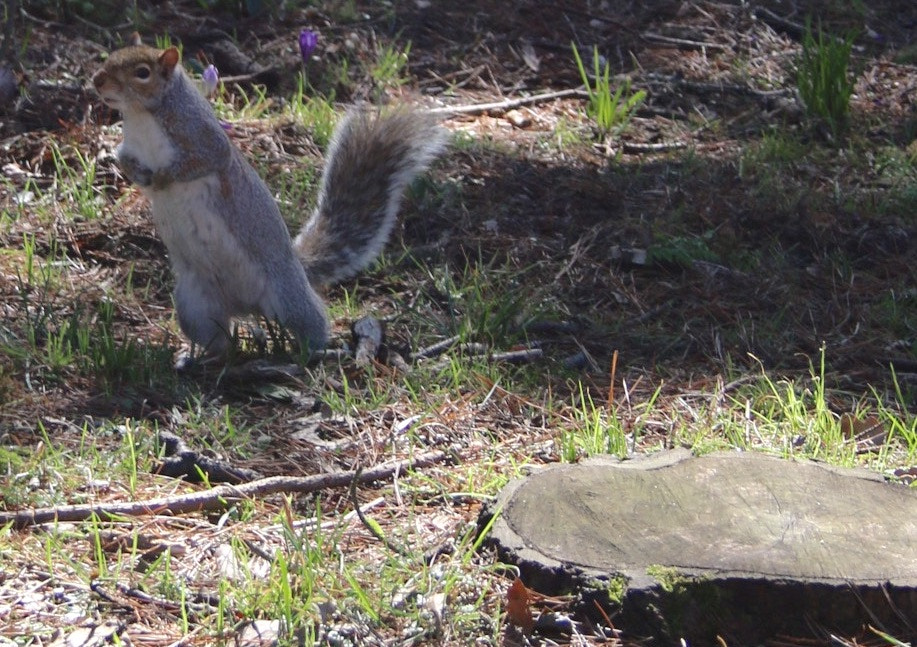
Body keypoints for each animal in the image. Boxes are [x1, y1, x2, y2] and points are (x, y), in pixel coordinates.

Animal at [93, 34, 448, 360]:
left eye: (142, 73)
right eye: (109, 58)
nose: (97, 81)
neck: (143, 115)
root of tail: (244, 304)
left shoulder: (202, 138)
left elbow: (203, 160)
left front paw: (164, 178)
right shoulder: (131, 147)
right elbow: (124, 159)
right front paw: (141, 177)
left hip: (289, 299)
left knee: (312, 324)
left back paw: (321, 351)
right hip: (195, 305)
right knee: (219, 339)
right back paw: (199, 358)